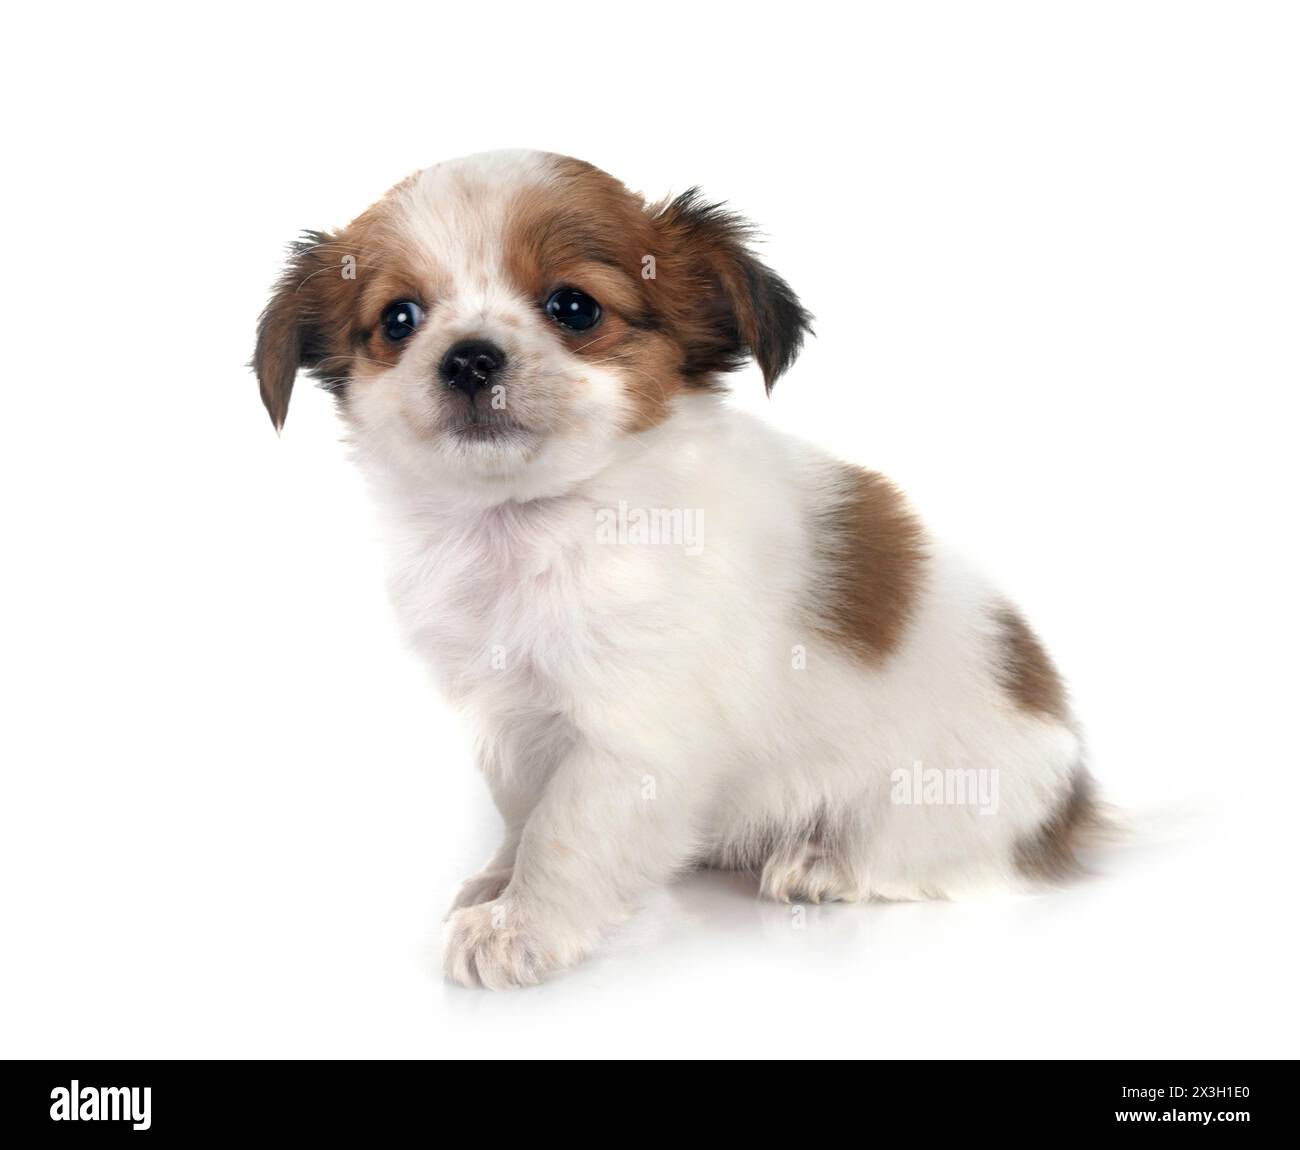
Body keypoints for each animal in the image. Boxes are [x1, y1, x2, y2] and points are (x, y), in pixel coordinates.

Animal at [250, 145, 1097, 987]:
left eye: (574, 308)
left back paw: (824, 861)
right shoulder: (509, 721)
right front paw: (498, 882)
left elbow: (562, 830)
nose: (467, 359)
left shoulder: (633, 736)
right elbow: (524, 812)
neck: (532, 522)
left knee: (933, 855)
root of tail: (1073, 798)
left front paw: (521, 925)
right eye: (399, 319)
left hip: (942, 801)